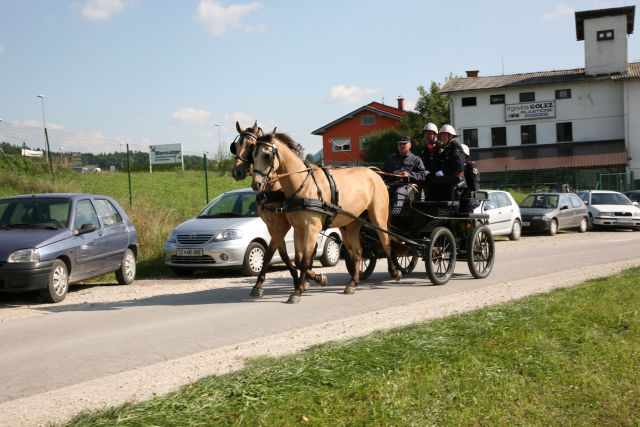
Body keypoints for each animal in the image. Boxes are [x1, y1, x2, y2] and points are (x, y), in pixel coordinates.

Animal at [230, 121, 328, 298]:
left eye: (251, 145)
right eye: (237, 145)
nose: (237, 171)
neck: (273, 189)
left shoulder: (283, 225)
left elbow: (271, 252)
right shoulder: (272, 227)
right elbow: (281, 254)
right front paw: (296, 279)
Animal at [250, 129, 400, 302]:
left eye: (267, 155)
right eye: (253, 154)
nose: (256, 184)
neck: (303, 185)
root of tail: (374, 173)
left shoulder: (311, 229)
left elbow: (305, 260)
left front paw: (298, 291)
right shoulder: (298, 230)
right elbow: (299, 260)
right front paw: (315, 280)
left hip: (378, 217)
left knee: (386, 242)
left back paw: (395, 272)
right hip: (352, 223)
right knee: (357, 252)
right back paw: (353, 283)